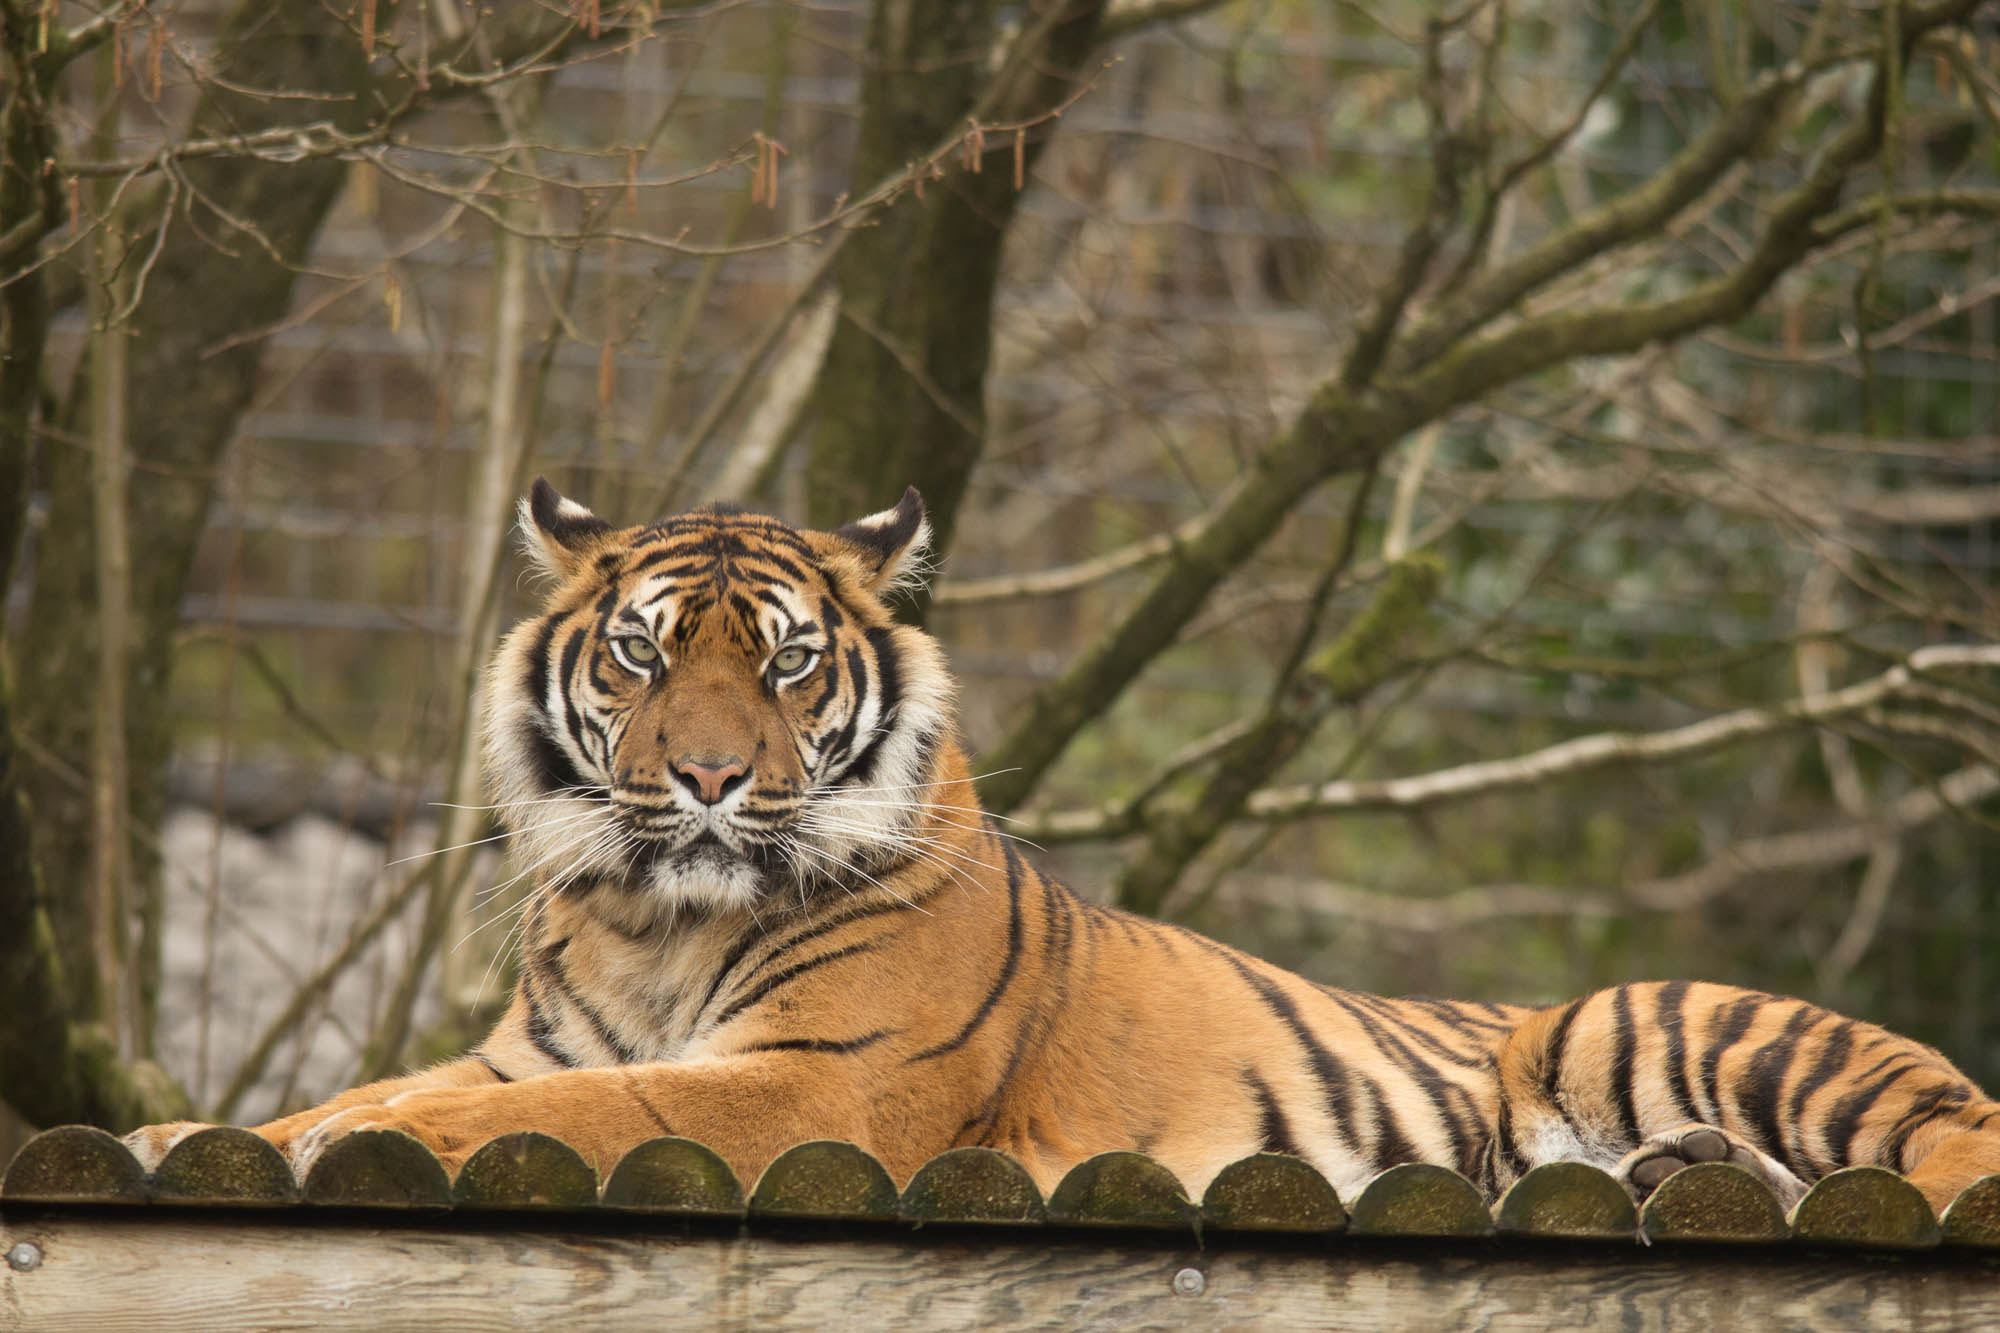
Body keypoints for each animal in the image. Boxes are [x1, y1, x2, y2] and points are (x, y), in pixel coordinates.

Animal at [126, 481, 2000, 1215]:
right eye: (647, 656)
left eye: (784, 662)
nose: (713, 779)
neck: (659, 921)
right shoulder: (532, 1042)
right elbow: (412, 1087)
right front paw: (184, 1129)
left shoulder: (822, 1081)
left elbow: (575, 1110)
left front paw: (349, 1134)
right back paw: (1679, 1175)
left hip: (1645, 1015)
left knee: (1948, 1131)